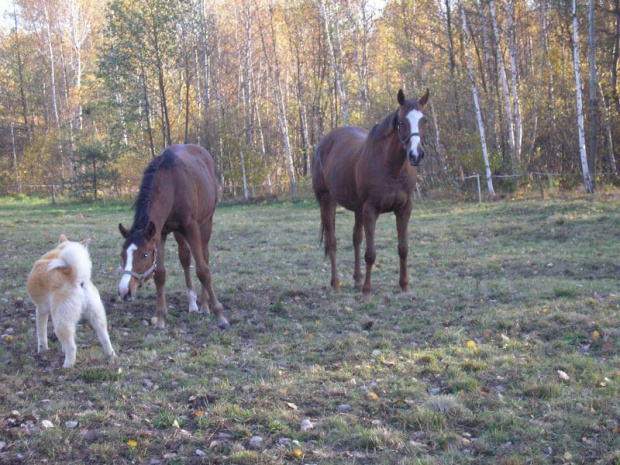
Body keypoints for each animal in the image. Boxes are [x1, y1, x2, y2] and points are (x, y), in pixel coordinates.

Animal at [26, 234, 117, 368]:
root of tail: (78, 279)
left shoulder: (41, 310)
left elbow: (41, 334)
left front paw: (42, 351)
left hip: (61, 321)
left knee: (72, 347)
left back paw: (67, 365)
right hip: (96, 317)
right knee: (105, 338)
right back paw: (111, 356)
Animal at [116, 145, 228, 330]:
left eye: (144, 255)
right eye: (122, 255)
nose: (124, 291)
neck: (172, 185)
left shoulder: (191, 227)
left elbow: (203, 270)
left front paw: (220, 315)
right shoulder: (160, 233)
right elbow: (160, 275)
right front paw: (161, 319)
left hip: (206, 223)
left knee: (204, 256)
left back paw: (205, 305)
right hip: (178, 232)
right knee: (185, 258)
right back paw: (193, 304)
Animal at [312, 89, 428, 300]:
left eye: (425, 120)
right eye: (402, 122)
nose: (416, 154)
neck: (391, 168)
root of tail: (324, 143)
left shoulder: (404, 209)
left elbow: (403, 249)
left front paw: (405, 286)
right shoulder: (371, 210)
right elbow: (371, 254)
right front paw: (367, 291)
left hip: (358, 209)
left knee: (356, 238)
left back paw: (357, 280)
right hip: (326, 201)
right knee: (332, 242)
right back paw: (336, 284)